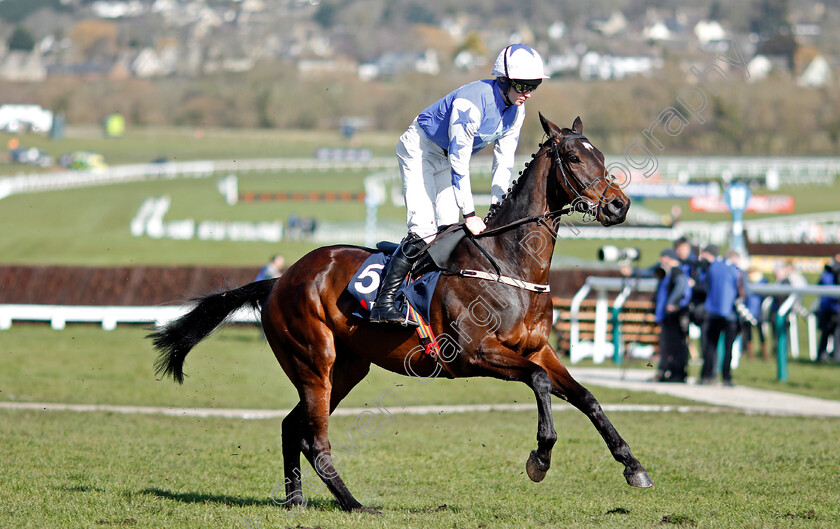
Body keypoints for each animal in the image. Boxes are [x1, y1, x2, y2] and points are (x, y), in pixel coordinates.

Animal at [149, 113, 648, 512]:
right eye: (574, 157)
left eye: (601, 154)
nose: (619, 204)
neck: (508, 263)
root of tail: (279, 281)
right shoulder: (475, 354)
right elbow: (541, 384)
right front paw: (540, 458)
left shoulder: (538, 349)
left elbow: (586, 397)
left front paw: (633, 465)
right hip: (315, 361)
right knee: (315, 437)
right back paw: (353, 504)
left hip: (348, 368)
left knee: (294, 427)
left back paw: (296, 501)